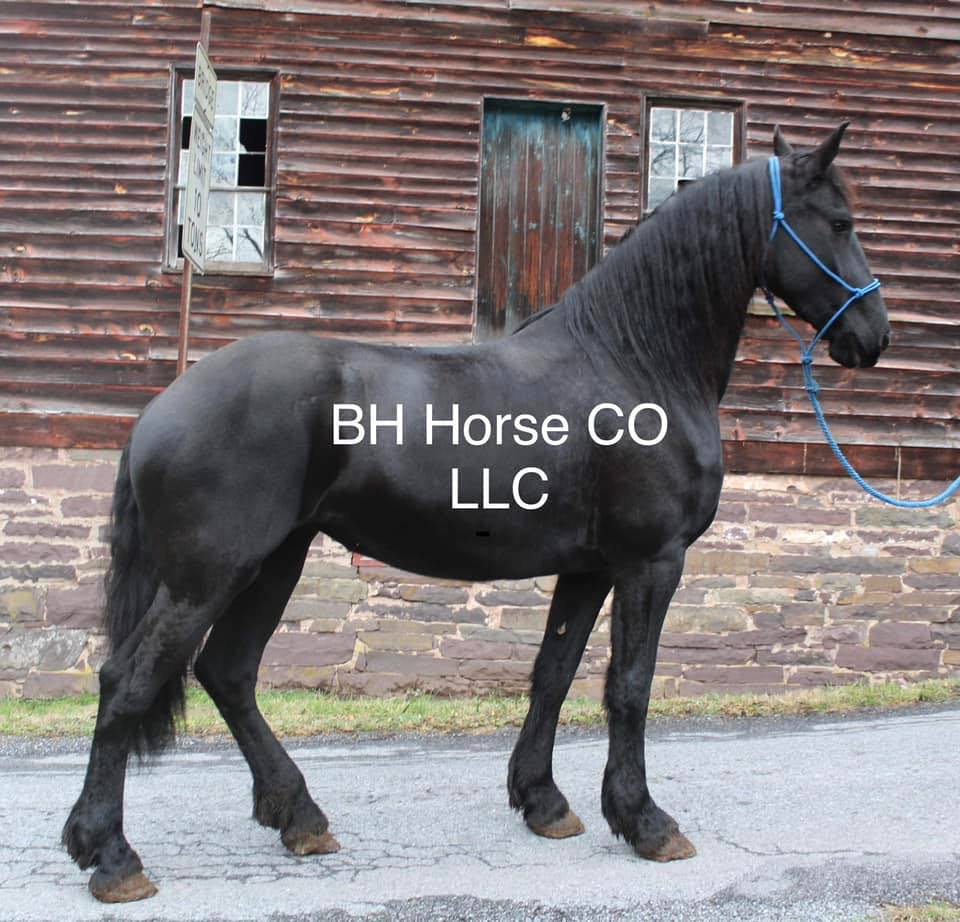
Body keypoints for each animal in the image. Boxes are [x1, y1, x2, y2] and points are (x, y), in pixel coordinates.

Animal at [62, 124, 890, 902]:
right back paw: (112, 854)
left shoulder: (589, 569)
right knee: (128, 681)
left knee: (228, 673)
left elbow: (553, 673)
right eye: (840, 221)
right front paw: (645, 821)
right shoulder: (651, 561)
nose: (874, 335)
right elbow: (629, 686)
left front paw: (544, 802)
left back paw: (297, 816)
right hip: (211, 575)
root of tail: (160, 409)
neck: (633, 361)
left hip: (275, 560)